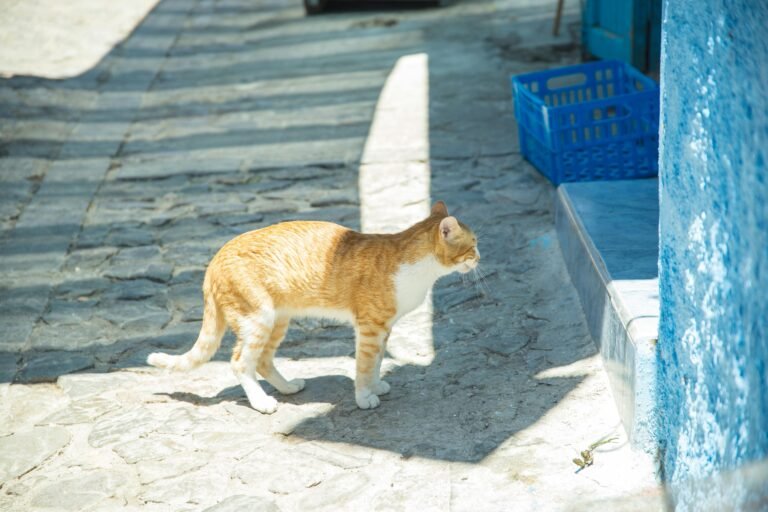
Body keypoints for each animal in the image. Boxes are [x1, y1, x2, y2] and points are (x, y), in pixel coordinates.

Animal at [147, 202, 476, 414]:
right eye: (473, 245)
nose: (480, 257)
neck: (418, 268)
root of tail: (215, 259)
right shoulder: (370, 328)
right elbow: (364, 365)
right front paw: (364, 397)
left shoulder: (384, 329)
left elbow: (377, 362)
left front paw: (376, 385)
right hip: (258, 319)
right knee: (240, 362)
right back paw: (262, 402)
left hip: (277, 320)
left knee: (263, 361)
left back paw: (287, 387)